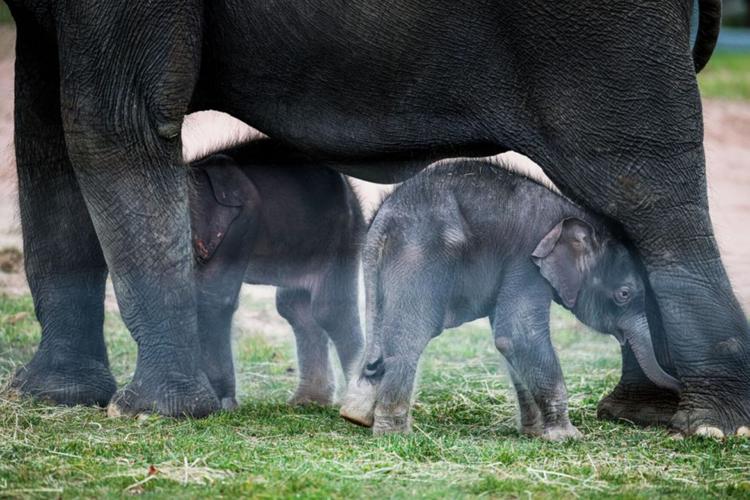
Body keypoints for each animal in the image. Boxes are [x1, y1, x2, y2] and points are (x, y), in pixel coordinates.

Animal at [191, 141, 368, 410]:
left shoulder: (240, 222)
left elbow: (212, 297)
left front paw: (222, 404)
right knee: (294, 306)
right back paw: (307, 402)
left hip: (341, 238)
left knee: (330, 310)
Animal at [344, 158, 684, 440]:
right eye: (624, 295)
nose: (680, 385)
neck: (570, 213)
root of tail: (380, 224)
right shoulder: (526, 261)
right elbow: (518, 337)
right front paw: (567, 437)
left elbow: (510, 343)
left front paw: (535, 433)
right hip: (419, 260)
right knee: (409, 339)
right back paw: (395, 434)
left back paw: (357, 416)